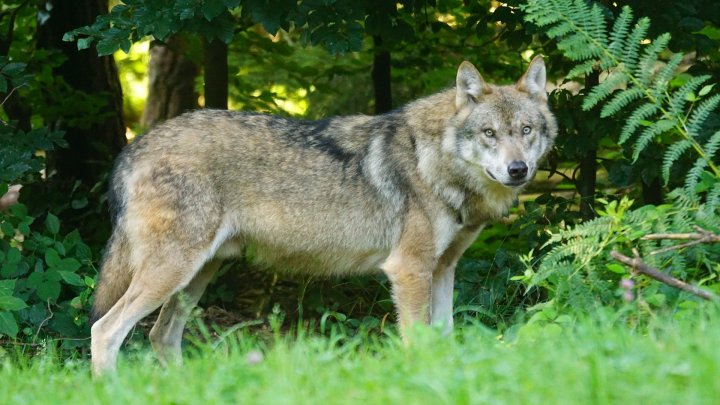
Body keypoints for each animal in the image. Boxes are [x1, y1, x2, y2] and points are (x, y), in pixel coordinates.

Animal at [90, 56, 557, 374]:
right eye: (489, 133)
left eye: (526, 131)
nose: (518, 170)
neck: (434, 161)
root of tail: (134, 146)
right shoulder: (409, 270)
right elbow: (418, 343)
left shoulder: (443, 269)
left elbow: (444, 338)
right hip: (173, 272)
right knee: (105, 330)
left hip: (196, 276)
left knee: (161, 336)